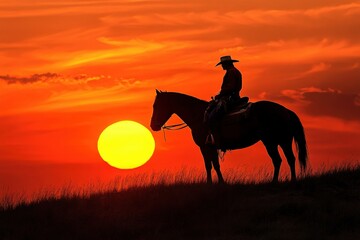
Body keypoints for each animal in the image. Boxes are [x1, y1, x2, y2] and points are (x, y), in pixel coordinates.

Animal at [150, 90, 308, 184]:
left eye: (156, 105)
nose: (153, 126)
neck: (199, 115)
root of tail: (285, 110)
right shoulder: (211, 147)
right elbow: (214, 165)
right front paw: (219, 183)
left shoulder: (205, 146)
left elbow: (210, 165)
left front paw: (213, 183)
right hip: (280, 141)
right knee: (288, 159)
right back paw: (290, 180)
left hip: (272, 142)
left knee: (279, 160)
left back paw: (277, 181)